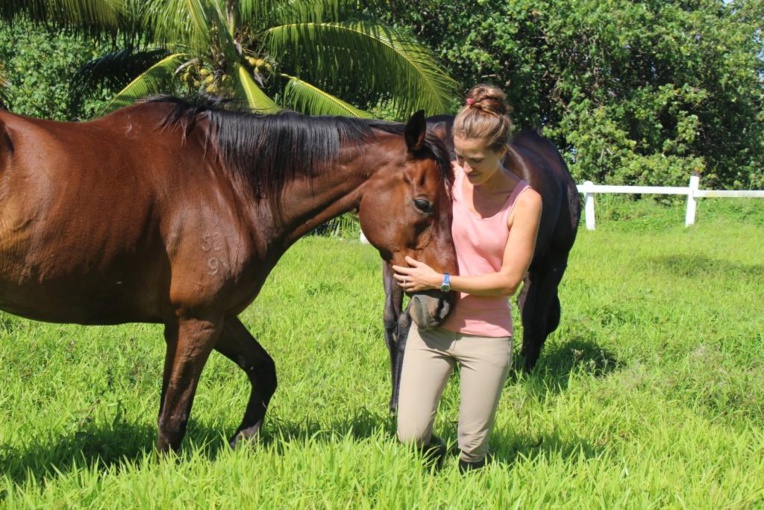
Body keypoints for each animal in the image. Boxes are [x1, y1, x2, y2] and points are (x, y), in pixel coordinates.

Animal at [0, 97, 458, 452]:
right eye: (423, 203)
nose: (443, 301)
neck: (224, 179)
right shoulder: (197, 320)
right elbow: (173, 417)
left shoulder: (216, 317)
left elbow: (263, 370)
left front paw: (244, 440)